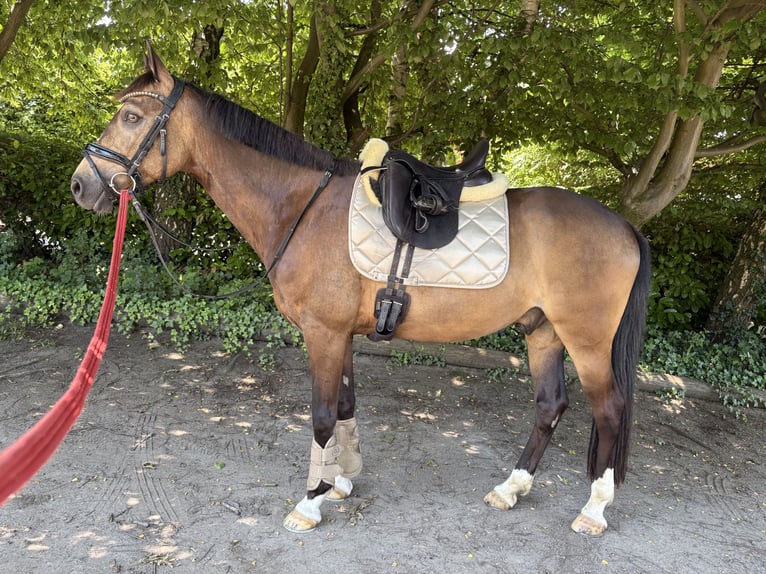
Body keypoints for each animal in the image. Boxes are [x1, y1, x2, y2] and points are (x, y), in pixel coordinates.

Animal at [70, 44, 651, 537]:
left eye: (131, 117)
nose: (82, 184)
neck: (302, 206)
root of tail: (624, 227)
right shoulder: (341, 333)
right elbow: (347, 404)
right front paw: (341, 480)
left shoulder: (323, 333)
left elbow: (323, 413)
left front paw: (309, 501)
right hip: (543, 331)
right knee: (550, 406)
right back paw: (511, 488)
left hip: (586, 341)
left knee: (610, 410)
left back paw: (594, 511)